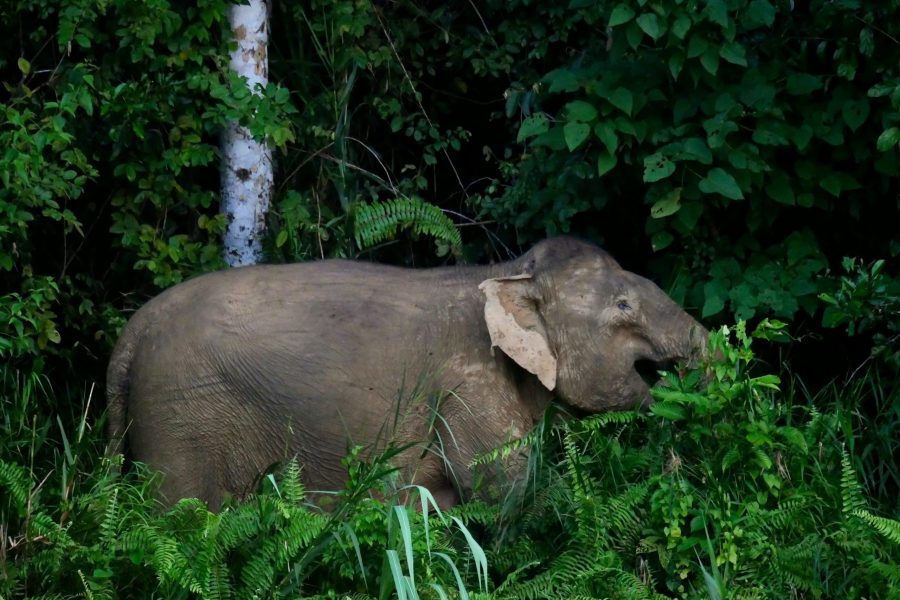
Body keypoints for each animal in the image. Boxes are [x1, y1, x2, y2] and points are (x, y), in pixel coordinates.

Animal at [105, 237, 708, 508]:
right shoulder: (468, 386)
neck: (508, 272)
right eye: (624, 306)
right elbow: (501, 490)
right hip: (181, 421)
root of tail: (129, 336)